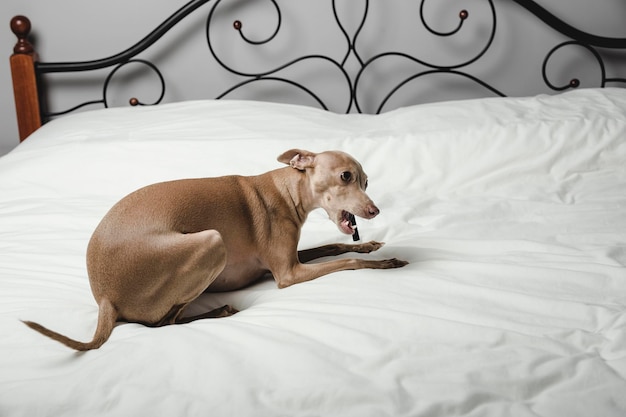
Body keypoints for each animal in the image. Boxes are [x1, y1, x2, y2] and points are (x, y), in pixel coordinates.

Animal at [24, 148, 408, 350]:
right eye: (345, 176)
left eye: (366, 181)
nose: (374, 211)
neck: (286, 190)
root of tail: (104, 298)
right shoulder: (287, 273)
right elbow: (347, 262)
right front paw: (385, 262)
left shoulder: (291, 259)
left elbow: (333, 246)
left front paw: (371, 245)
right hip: (211, 241)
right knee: (161, 324)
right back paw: (220, 310)